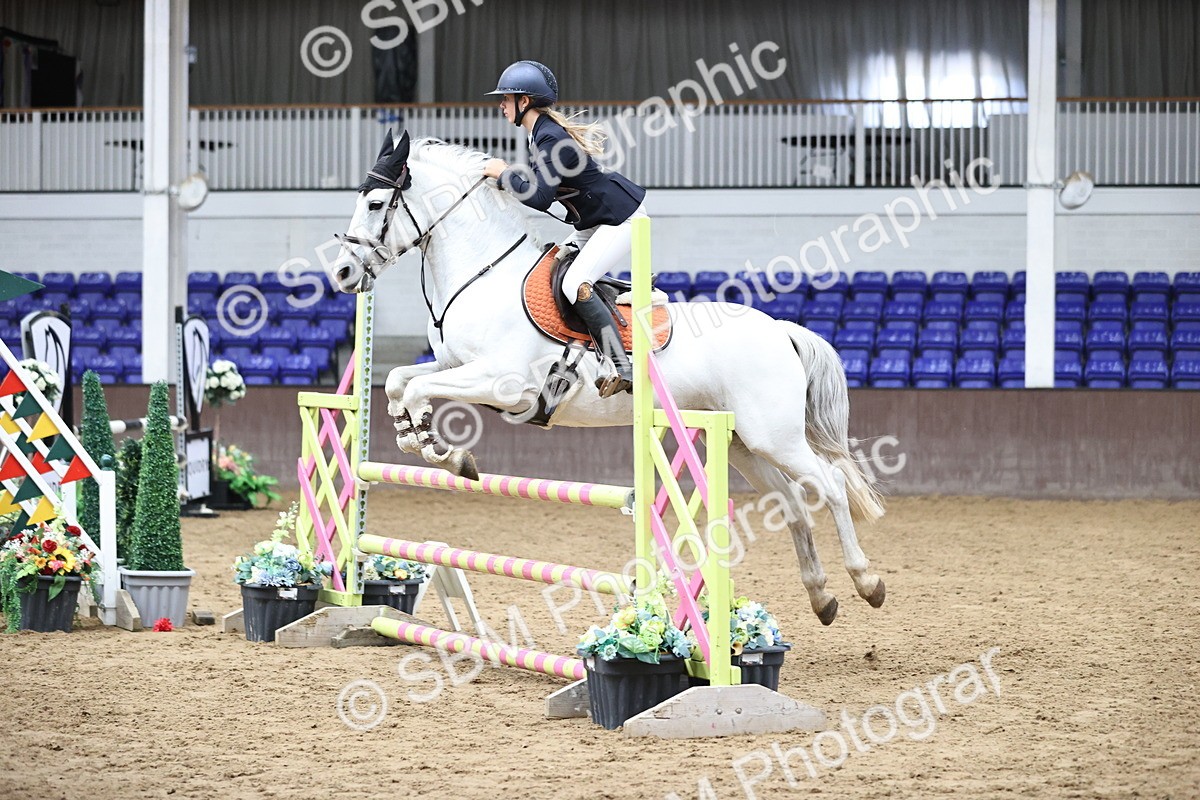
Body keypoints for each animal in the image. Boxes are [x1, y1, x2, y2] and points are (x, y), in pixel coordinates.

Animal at [329, 130, 887, 626]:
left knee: (831, 485)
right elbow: (401, 381)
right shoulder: (453, 365)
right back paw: (821, 597)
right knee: (792, 501)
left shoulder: (503, 384)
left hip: (774, 436)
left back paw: (867, 582)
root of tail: (780, 329)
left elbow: (419, 388)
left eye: (375, 204)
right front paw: (416, 435)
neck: (483, 273)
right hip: (744, 444)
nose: (342, 275)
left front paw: (445, 452)